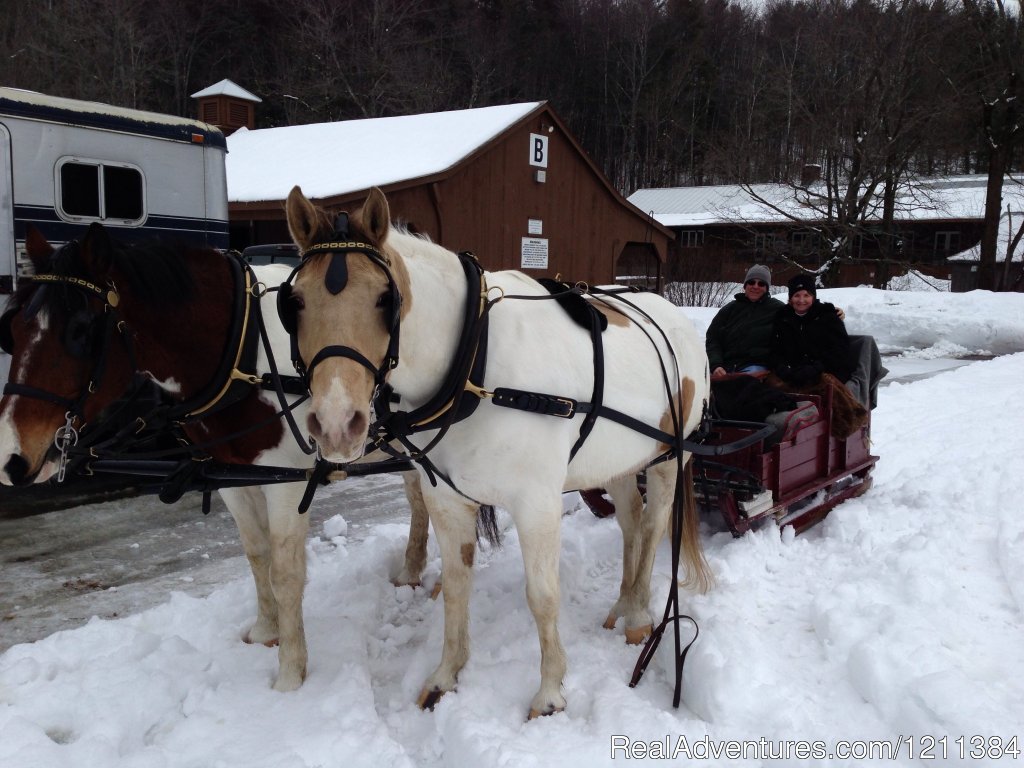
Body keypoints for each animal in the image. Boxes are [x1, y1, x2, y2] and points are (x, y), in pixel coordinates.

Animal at [282, 185, 712, 716]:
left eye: (385, 299)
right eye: (295, 302)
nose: (337, 424)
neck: (475, 362)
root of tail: (676, 317)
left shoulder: (537, 504)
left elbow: (543, 596)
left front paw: (550, 694)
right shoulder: (447, 499)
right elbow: (456, 587)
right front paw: (445, 676)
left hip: (670, 457)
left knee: (653, 528)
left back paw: (637, 615)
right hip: (616, 461)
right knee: (631, 522)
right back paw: (623, 604)